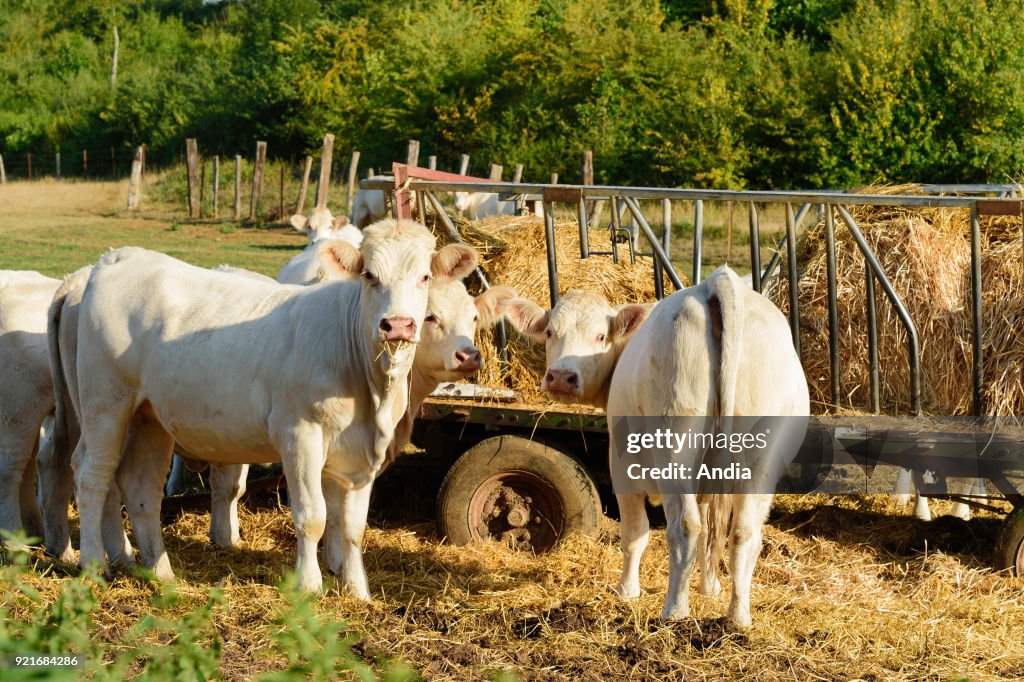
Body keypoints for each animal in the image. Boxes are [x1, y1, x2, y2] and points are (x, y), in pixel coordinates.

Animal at [52, 220, 475, 593]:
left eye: (424, 277)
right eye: (369, 275)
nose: (398, 325)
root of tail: (115, 258)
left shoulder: (361, 453)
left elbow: (352, 526)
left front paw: (357, 590)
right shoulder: (300, 434)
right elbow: (312, 516)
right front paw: (308, 585)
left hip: (149, 416)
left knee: (140, 487)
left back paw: (161, 573)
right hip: (105, 403)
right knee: (92, 474)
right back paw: (95, 564)